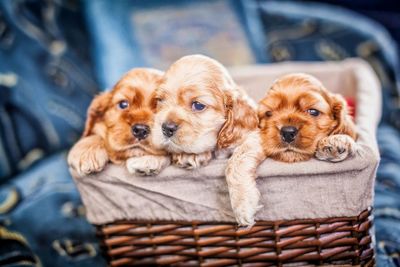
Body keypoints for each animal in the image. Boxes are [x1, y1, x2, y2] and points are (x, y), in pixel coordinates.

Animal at [225, 74, 360, 228]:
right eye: (269, 113)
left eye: (313, 111)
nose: (287, 132)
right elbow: (238, 158)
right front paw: (242, 204)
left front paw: (336, 141)